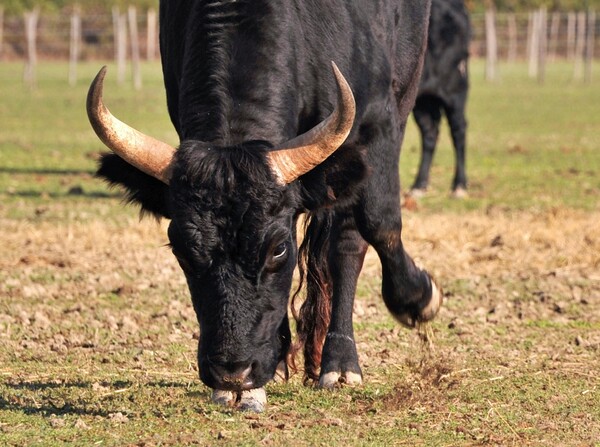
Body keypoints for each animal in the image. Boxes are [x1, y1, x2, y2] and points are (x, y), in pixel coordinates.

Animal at [86, 0, 440, 412]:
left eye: (279, 249)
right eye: (182, 250)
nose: (232, 371)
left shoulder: (379, 120)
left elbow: (378, 223)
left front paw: (418, 298)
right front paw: (258, 379)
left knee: (348, 241)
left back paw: (339, 364)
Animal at [410, 0, 472, 198]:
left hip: (455, 90)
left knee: (458, 130)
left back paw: (459, 185)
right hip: (423, 100)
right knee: (430, 133)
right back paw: (419, 185)